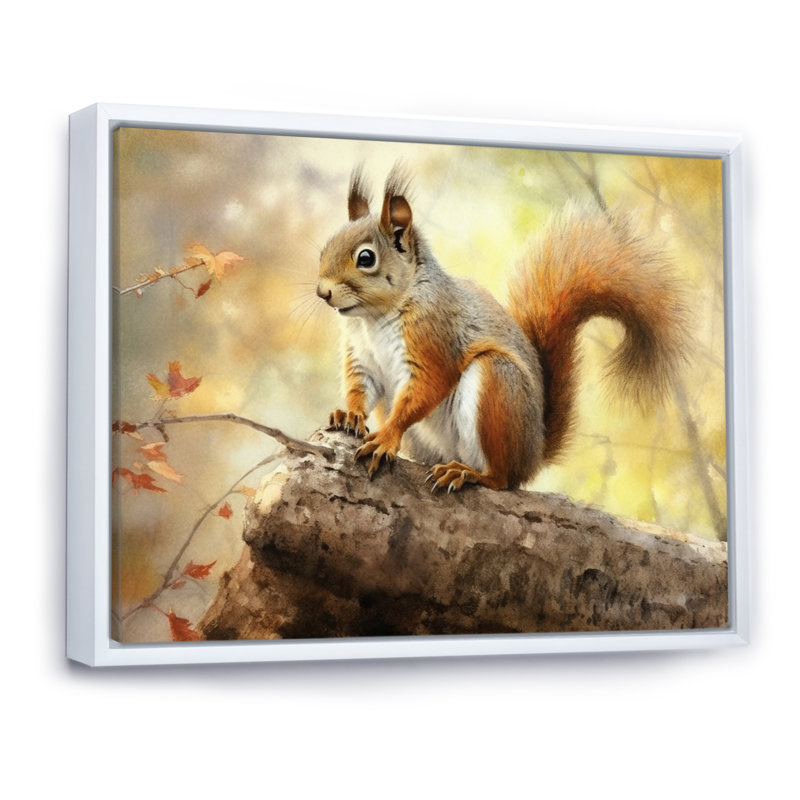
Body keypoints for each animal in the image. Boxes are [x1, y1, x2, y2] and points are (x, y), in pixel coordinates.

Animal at [316, 165, 687, 492]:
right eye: (324, 248)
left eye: (366, 258)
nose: (323, 292)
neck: (375, 318)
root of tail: (533, 454)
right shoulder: (360, 355)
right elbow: (360, 387)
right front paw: (349, 415)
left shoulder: (435, 339)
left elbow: (424, 390)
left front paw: (387, 436)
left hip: (499, 387)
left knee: (501, 479)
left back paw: (468, 474)